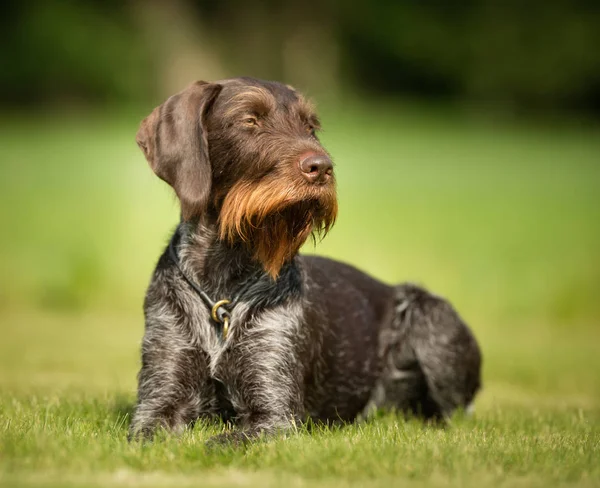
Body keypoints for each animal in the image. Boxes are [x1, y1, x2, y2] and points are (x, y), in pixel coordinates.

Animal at [131, 77, 482, 446]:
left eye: (310, 127)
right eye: (250, 120)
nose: (322, 167)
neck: (224, 280)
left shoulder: (276, 416)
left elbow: (221, 441)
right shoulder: (157, 401)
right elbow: (151, 428)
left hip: (433, 318)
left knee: (456, 413)